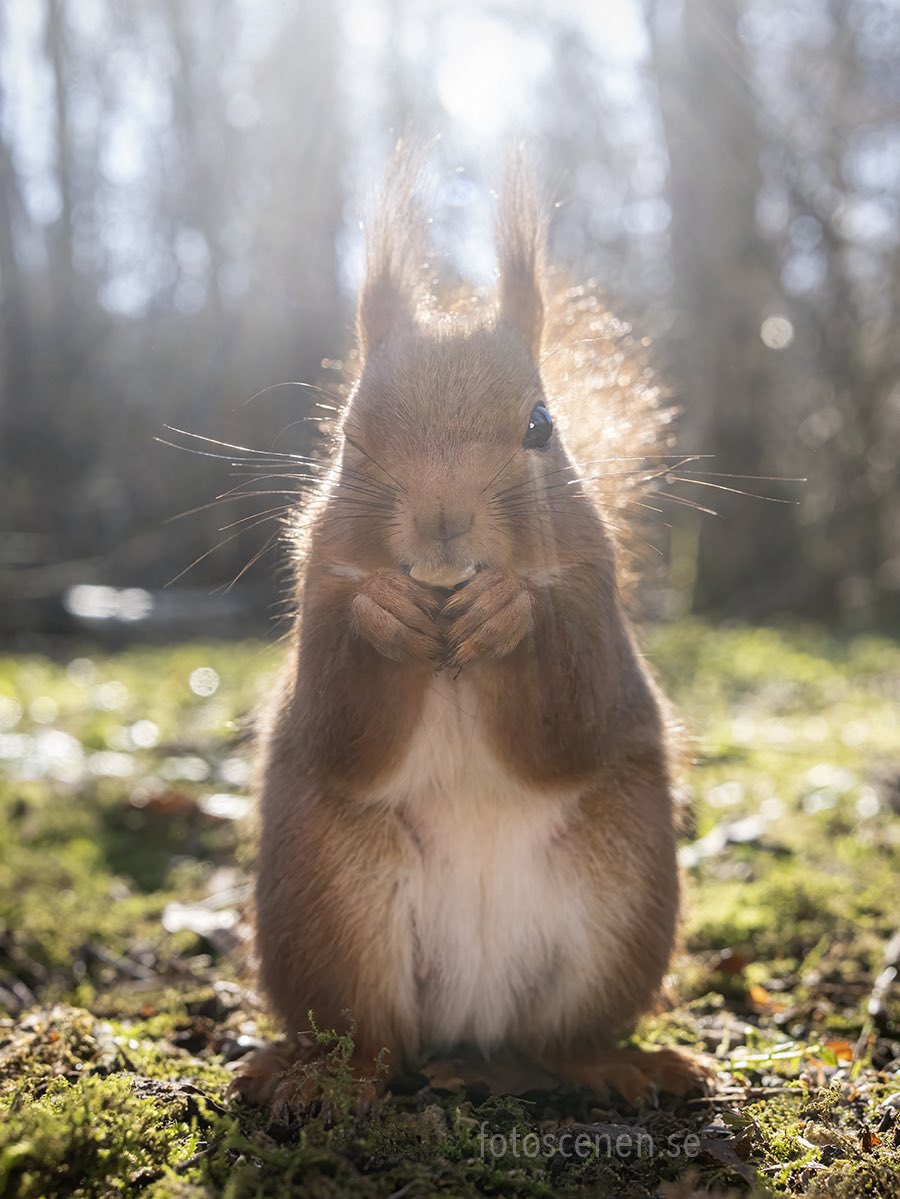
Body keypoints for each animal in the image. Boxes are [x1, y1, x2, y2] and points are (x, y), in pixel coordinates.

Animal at [231, 149, 711, 1112]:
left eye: (542, 424)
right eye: (350, 435)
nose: (443, 523)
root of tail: (472, 1019)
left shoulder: (596, 608)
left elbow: (572, 719)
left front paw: (509, 612)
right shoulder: (317, 596)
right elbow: (340, 726)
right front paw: (385, 611)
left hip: (623, 899)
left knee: (559, 1036)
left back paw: (617, 1065)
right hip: (332, 905)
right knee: (375, 1044)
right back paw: (318, 1079)